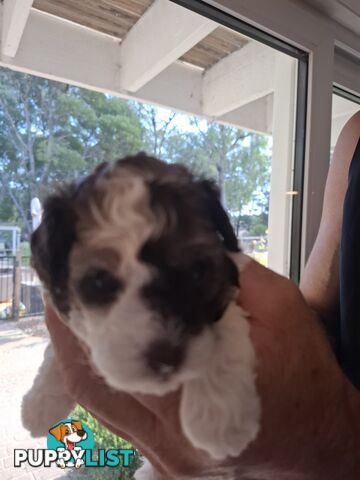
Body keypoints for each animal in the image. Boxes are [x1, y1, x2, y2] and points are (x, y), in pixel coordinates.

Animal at [21, 155, 258, 476]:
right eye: (99, 283)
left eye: (198, 274)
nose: (166, 358)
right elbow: (55, 349)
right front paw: (39, 405)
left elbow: (227, 323)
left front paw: (219, 420)